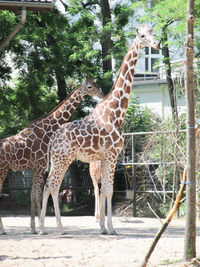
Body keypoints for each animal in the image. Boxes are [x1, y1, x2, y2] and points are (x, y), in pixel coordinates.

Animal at [0, 76, 103, 234]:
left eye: (96, 83)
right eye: (90, 86)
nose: (102, 94)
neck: (47, 130)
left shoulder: (40, 168)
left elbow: (37, 194)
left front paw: (38, 226)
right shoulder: (39, 166)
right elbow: (34, 195)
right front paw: (35, 228)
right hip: (4, 168)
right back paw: (3, 230)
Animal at [38, 24, 158, 234]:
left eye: (153, 33)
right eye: (143, 35)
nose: (157, 45)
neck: (116, 113)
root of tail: (52, 140)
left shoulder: (104, 157)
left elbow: (103, 190)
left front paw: (102, 226)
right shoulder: (112, 154)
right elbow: (109, 190)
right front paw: (110, 228)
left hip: (60, 160)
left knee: (49, 186)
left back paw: (44, 228)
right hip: (63, 159)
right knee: (52, 186)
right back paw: (58, 228)